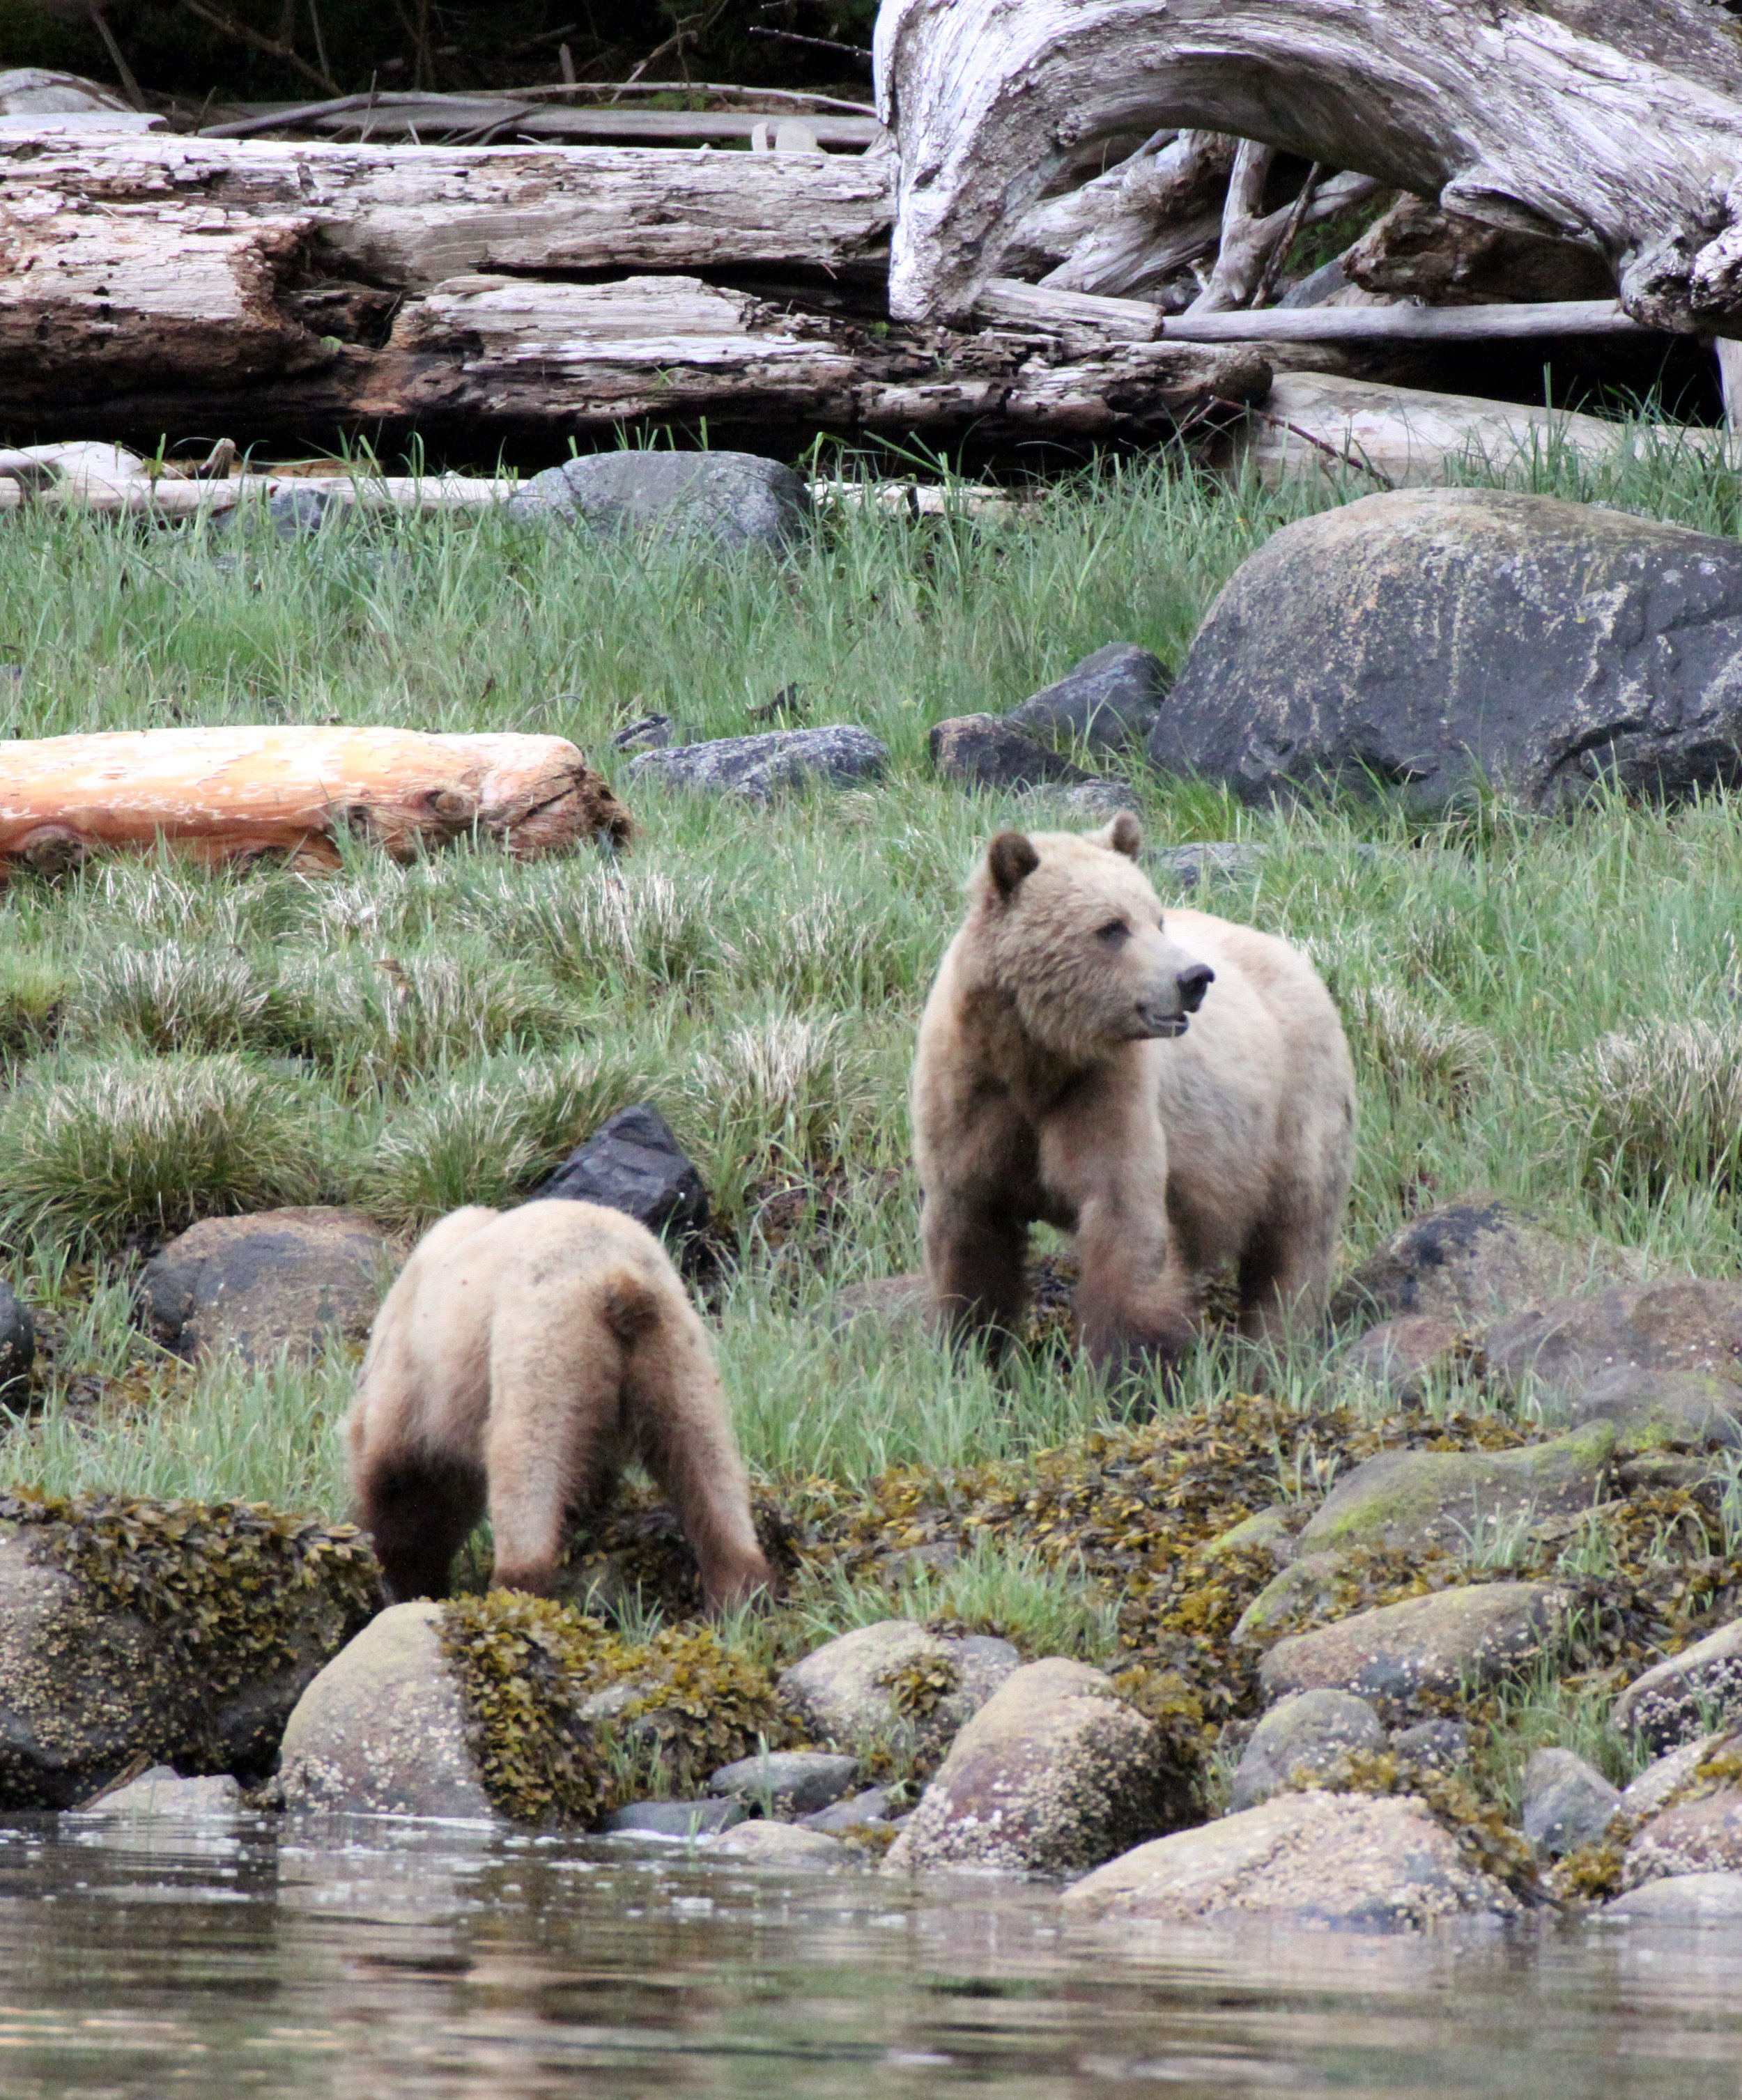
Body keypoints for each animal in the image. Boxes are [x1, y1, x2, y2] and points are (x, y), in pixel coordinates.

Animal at [344, 1199, 774, 1612]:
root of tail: (619, 1278)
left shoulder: (414, 1384)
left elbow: (404, 1489)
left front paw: (404, 1578)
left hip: (545, 1341)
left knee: (525, 1461)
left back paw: (515, 1591)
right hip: (676, 1349)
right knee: (705, 1456)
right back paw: (739, 1594)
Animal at [910, 813, 1355, 1370]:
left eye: (1156, 919)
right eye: (1112, 927)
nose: (1194, 977)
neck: (1036, 1053)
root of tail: (1293, 956)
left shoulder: (1105, 1089)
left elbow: (1124, 1219)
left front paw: (1121, 1366)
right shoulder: (972, 1092)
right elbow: (970, 1234)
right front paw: (971, 1351)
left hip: (1294, 1109)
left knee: (1294, 1241)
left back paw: (1273, 1351)